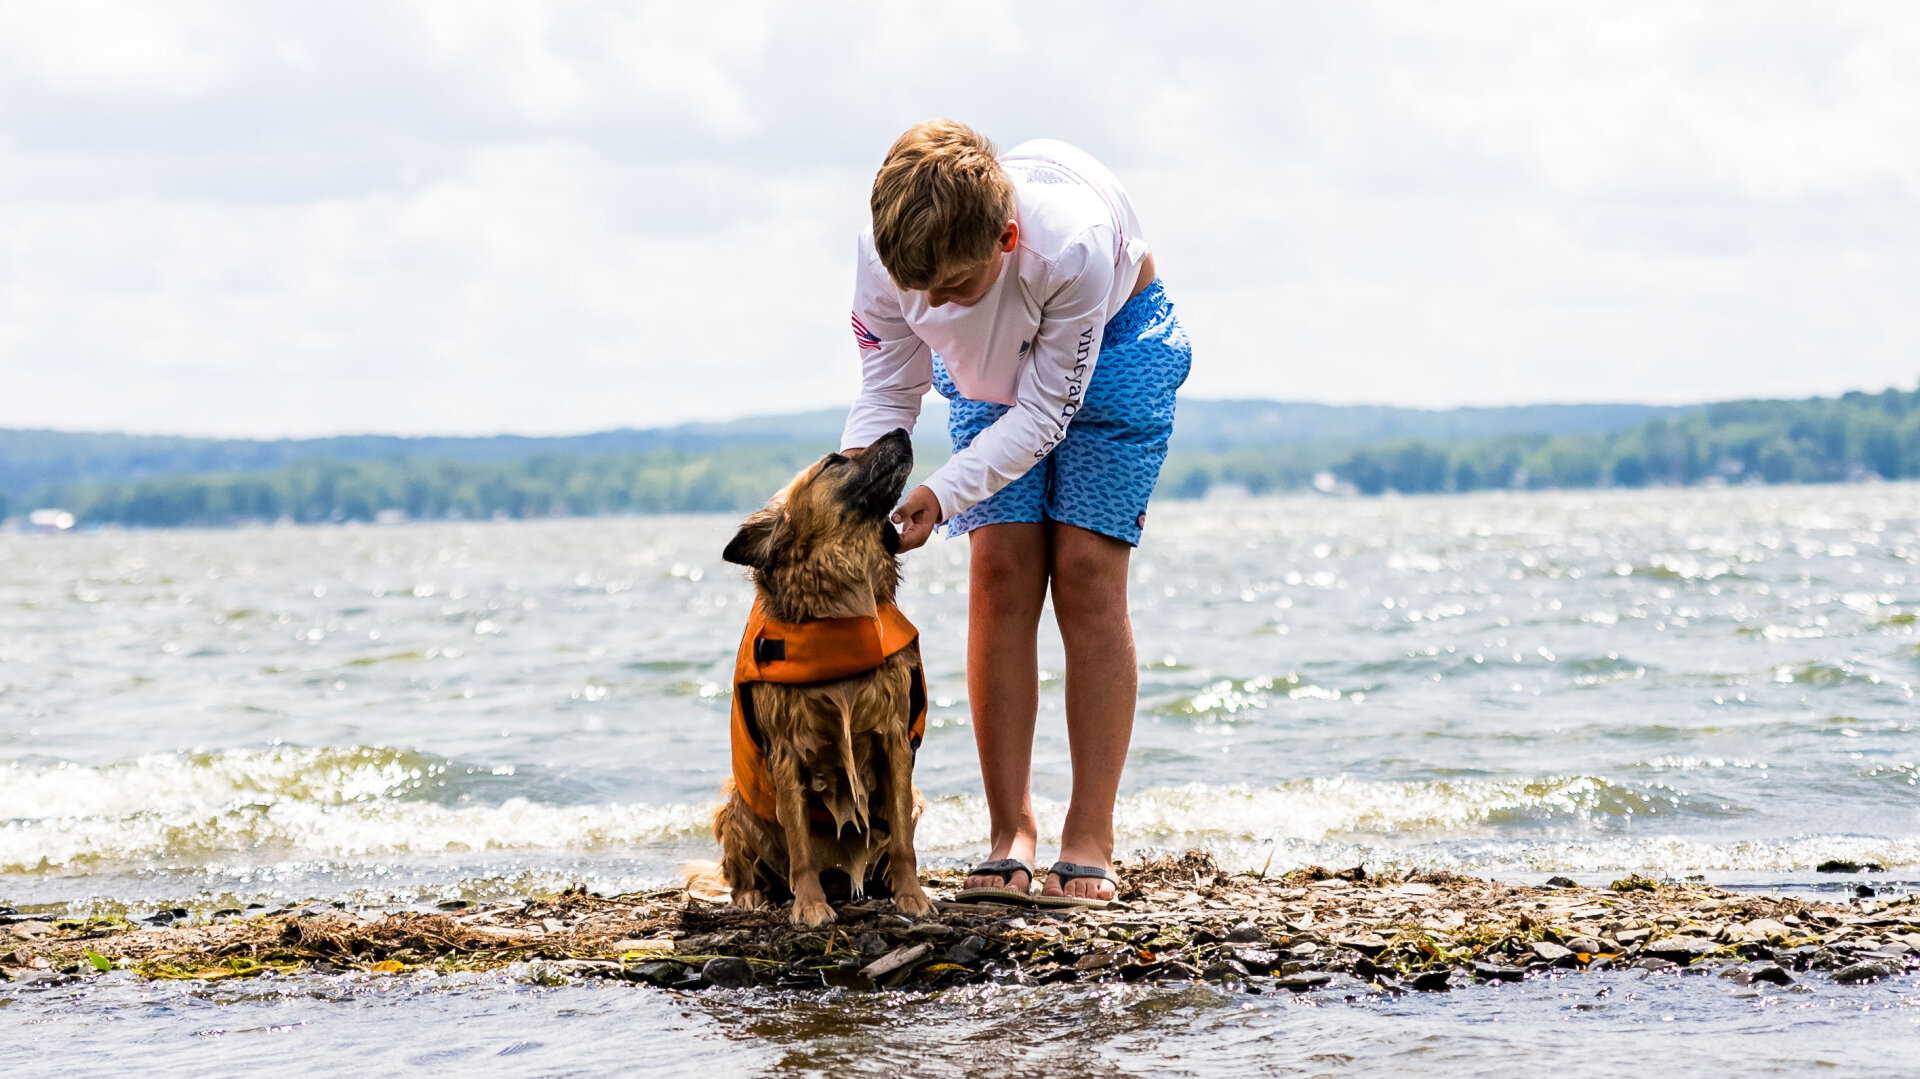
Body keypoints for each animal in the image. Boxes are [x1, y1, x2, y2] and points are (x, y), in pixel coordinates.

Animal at [718, 428, 933, 925]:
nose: (900, 431)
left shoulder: (895, 741)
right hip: (735, 806)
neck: (839, 612)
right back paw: (754, 895)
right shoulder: (787, 754)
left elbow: (903, 840)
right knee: (748, 871)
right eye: (836, 462)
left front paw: (911, 894)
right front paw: (811, 904)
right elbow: (800, 848)